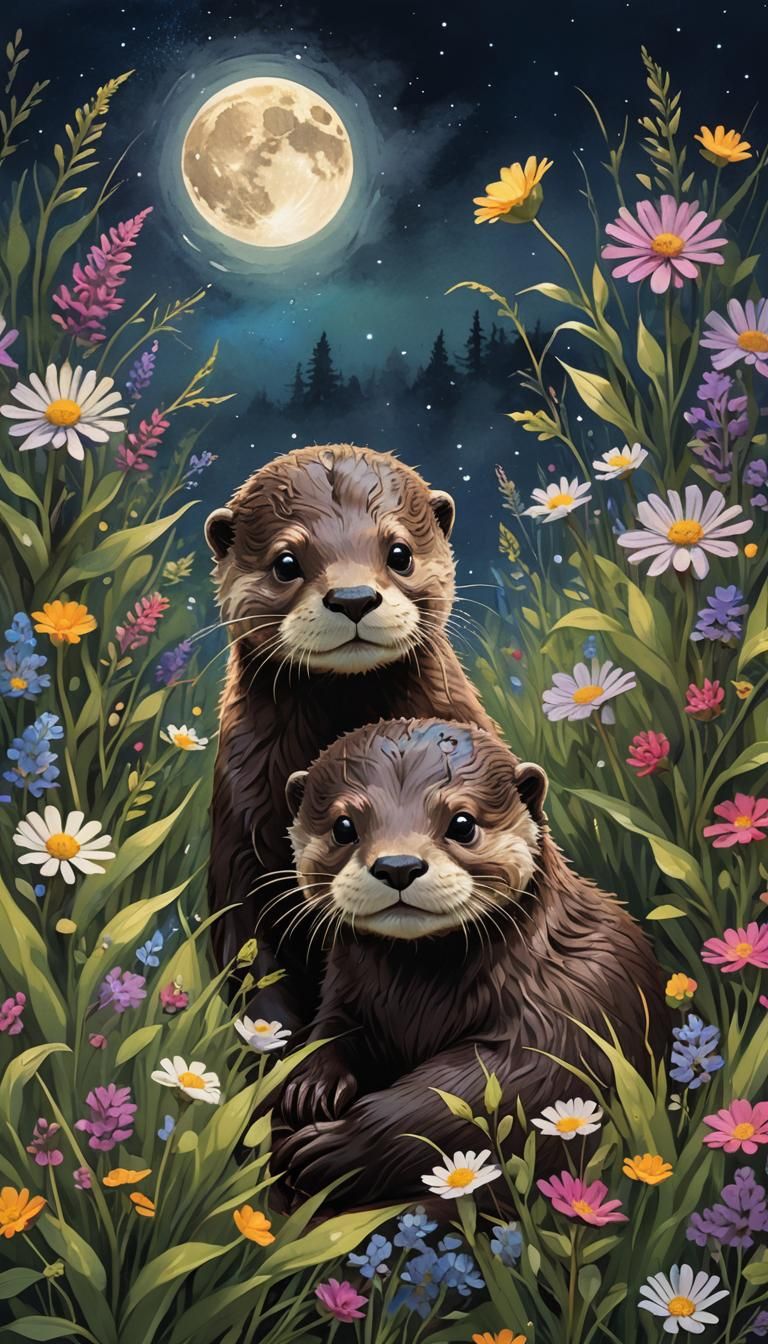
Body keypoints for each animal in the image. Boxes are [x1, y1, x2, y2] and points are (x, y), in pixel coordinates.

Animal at [276, 718, 669, 1208]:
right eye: (343, 826)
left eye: (462, 823)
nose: (398, 865)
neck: (416, 1000)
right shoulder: (344, 990)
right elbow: (332, 1027)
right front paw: (311, 1084)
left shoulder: (568, 1008)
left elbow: (469, 1093)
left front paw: (333, 1147)